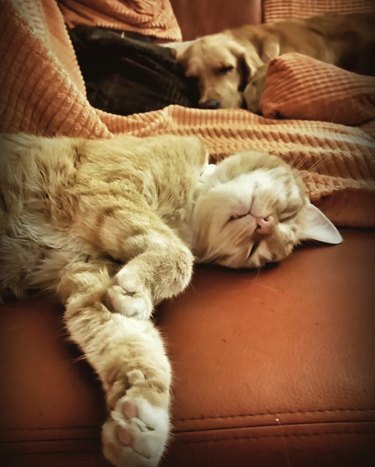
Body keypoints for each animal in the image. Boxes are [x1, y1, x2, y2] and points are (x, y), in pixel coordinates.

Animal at [0, 133, 342, 467]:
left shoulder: (90, 280)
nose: (265, 224)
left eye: (255, 249)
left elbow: (135, 344)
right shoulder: (105, 185)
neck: (183, 215)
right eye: (285, 213)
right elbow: (180, 257)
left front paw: (140, 420)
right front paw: (142, 285)